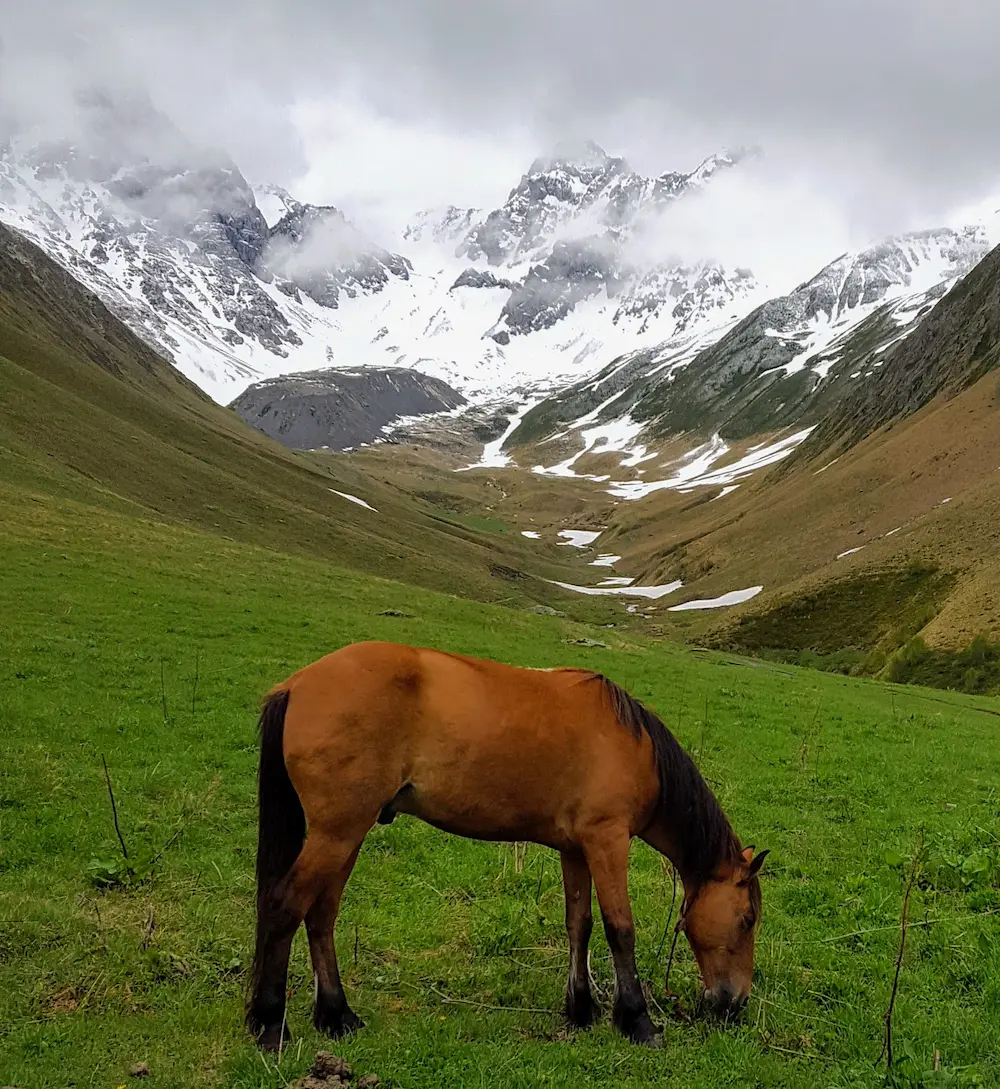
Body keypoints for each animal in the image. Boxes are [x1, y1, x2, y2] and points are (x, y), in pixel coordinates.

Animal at [246, 640, 768, 1051]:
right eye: (746, 919)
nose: (735, 1003)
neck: (635, 748)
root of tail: (296, 684)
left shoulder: (576, 848)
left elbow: (578, 924)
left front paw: (581, 1009)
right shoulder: (607, 840)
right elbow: (620, 928)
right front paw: (637, 1021)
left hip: (347, 833)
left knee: (321, 914)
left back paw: (336, 1015)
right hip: (336, 833)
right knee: (285, 905)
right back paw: (270, 1024)